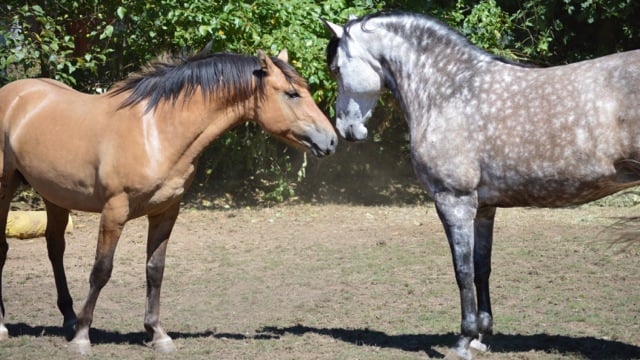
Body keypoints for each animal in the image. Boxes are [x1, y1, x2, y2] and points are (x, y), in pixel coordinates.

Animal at [0, 48, 338, 354]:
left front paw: (157, 333)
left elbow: (155, 269)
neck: (157, 132)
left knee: (55, 247)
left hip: (54, 194)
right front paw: (83, 337)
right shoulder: (114, 211)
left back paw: (68, 319)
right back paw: (7, 326)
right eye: (292, 94)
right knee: (5, 249)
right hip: (5, 187)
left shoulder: (165, 211)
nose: (332, 139)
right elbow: (101, 270)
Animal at [324, 11, 640, 360]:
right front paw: (481, 335)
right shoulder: (484, 208)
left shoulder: (454, 202)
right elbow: (480, 267)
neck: (448, 90)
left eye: (336, 68)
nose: (345, 129)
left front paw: (463, 341)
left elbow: (461, 271)